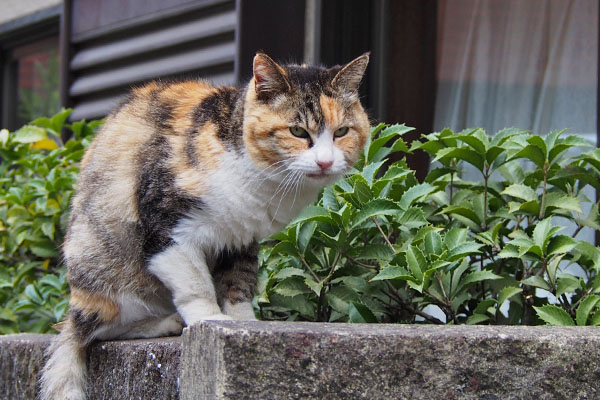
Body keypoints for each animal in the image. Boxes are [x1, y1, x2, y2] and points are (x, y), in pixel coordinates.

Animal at [38, 53, 370, 400]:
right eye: (297, 131)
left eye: (342, 131)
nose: (325, 162)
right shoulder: (165, 225)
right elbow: (195, 283)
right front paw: (208, 319)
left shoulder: (240, 238)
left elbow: (239, 283)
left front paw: (241, 323)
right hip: (107, 271)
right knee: (99, 331)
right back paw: (167, 323)